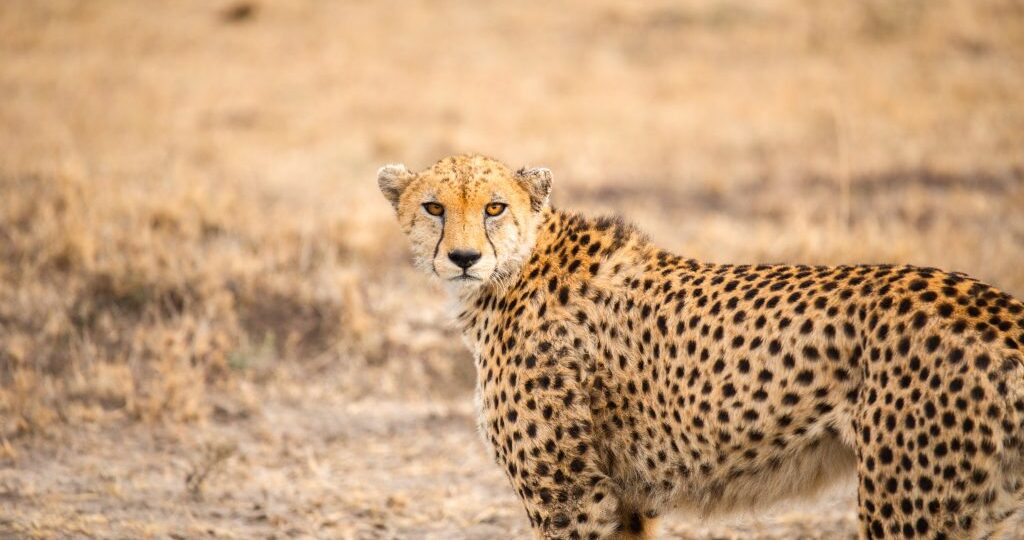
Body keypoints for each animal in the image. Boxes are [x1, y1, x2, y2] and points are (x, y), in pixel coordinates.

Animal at [377, 154, 1024, 539]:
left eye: (495, 207)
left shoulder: (572, 499)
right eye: (433, 207)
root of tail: (1000, 306)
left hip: (911, 506)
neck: (513, 270)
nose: (464, 257)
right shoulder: (622, 500)